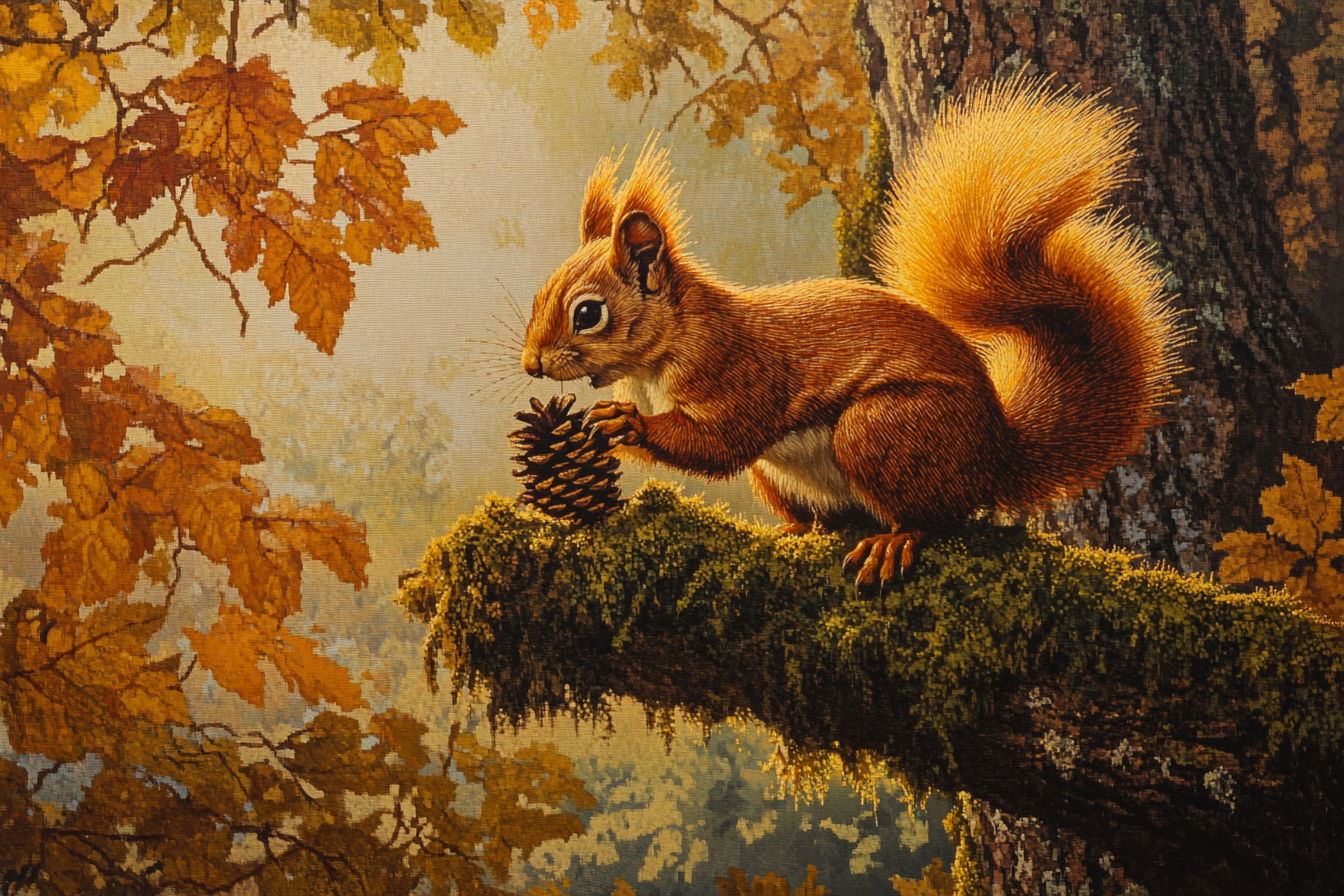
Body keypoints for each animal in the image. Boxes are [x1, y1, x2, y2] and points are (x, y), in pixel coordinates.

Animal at [521, 76, 1181, 586]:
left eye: (588, 313)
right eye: (539, 294)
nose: (532, 364)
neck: (660, 356)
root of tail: (997, 452)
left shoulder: (736, 369)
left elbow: (723, 442)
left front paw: (629, 424)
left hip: (885, 430)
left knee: (939, 516)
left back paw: (895, 539)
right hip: (784, 473)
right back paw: (794, 529)